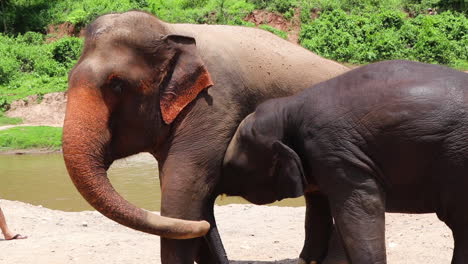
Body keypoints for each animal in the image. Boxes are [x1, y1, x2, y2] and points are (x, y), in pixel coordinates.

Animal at [61, 9, 348, 262]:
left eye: (117, 85)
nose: (204, 225)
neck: (171, 31)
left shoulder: (214, 105)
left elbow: (186, 192)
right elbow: (185, 194)